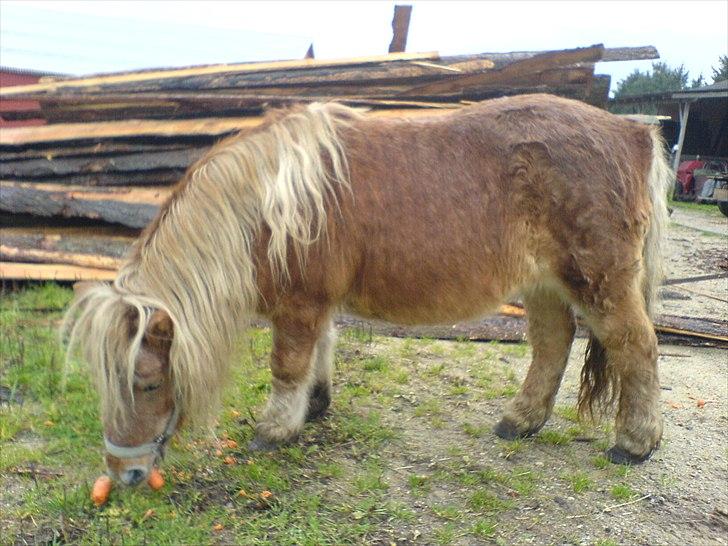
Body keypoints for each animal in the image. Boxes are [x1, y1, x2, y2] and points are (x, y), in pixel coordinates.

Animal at [64, 94, 672, 486]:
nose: (123, 472)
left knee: (636, 346)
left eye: (145, 383)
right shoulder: (316, 306)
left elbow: (287, 365)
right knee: (552, 344)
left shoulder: (299, 303)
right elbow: (319, 352)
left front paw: (274, 430)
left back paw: (635, 444)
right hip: (544, 283)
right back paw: (520, 422)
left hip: (598, 281)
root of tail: (633, 133)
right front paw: (314, 407)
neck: (267, 204)